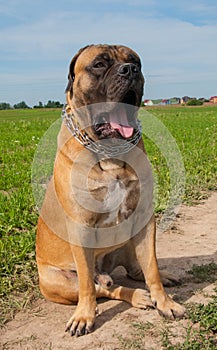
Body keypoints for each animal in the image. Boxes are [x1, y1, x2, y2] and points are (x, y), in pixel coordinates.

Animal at [35, 43, 185, 336]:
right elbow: (87, 286)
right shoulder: (80, 227)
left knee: (134, 271)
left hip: (127, 242)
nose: (130, 70)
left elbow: (151, 267)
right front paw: (84, 316)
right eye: (99, 64)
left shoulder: (144, 218)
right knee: (102, 288)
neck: (110, 153)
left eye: (135, 61)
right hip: (58, 282)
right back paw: (136, 296)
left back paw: (161, 280)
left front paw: (165, 302)